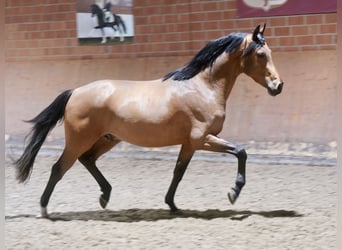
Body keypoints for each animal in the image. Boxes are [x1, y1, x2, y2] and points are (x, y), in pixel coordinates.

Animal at [14, 24, 284, 218]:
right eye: (261, 54)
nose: (278, 86)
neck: (203, 87)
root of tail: (75, 92)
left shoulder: (189, 143)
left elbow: (178, 172)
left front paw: (173, 206)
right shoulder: (202, 139)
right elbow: (241, 152)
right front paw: (233, 192)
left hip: (108, 138)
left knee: (87, 160)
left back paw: (105, 196)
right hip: (79, 140)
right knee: (59, 168)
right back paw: (45, 210)